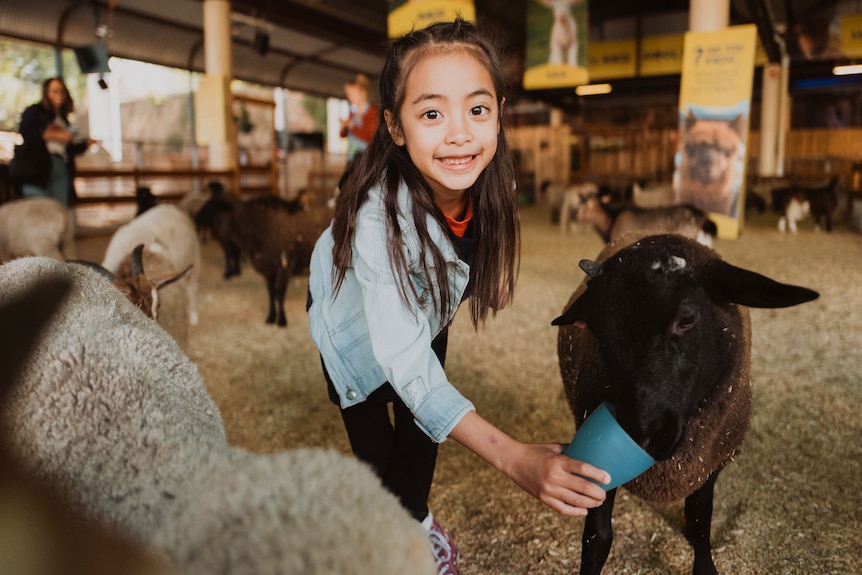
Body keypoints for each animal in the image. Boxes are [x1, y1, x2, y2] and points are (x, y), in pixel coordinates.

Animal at [197, 194, 334, 328]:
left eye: (211, 208)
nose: (196, 218)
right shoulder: (268, 270)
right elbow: (271, 293)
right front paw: (271, 317)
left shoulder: (283, 268)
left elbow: (279, 294)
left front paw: (282, 321)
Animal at [556, 233, 820, 575]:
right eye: (599, 333)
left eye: (686, 320)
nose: (641, 436)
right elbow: (597, 538)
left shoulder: (708, 465)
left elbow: (699, 519)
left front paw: (705, 564)